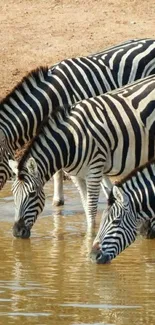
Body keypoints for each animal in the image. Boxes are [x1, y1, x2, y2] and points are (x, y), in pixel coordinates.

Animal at [8, 73, 155, 237]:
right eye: (13, 194)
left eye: (32, 194)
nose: (17, 232)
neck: (70, 141)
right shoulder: (76, 175)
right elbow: (86, 206)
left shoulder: (95, 170)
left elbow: (90, 209)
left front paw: (90, 236)